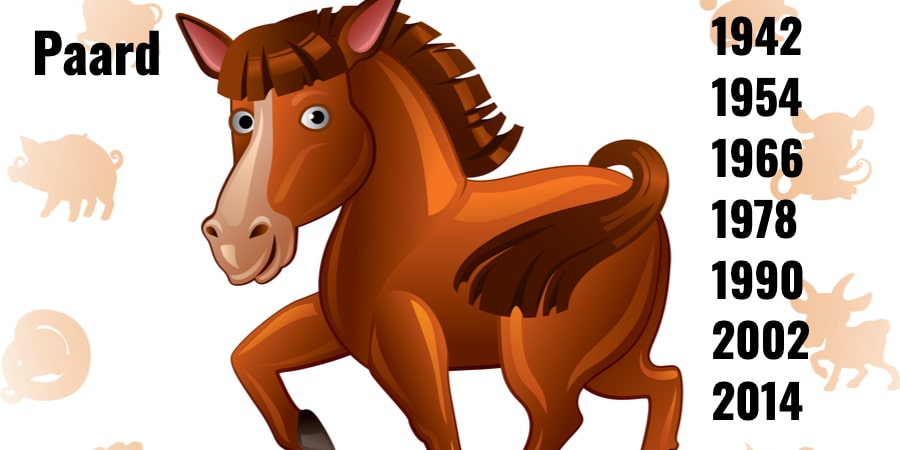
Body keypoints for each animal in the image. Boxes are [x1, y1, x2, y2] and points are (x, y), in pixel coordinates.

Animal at [177, 1, 682, 448]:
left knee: (559, 419)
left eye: (316, 115)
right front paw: (310, 430)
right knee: (666, 381)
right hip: (613, 358)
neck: (410, 230)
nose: (235, 243)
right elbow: (248, 358)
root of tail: (631, 198)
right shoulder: (333, 327)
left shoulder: (409, 350)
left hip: (544, 362)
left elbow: (440, 432)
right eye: (242, 119)